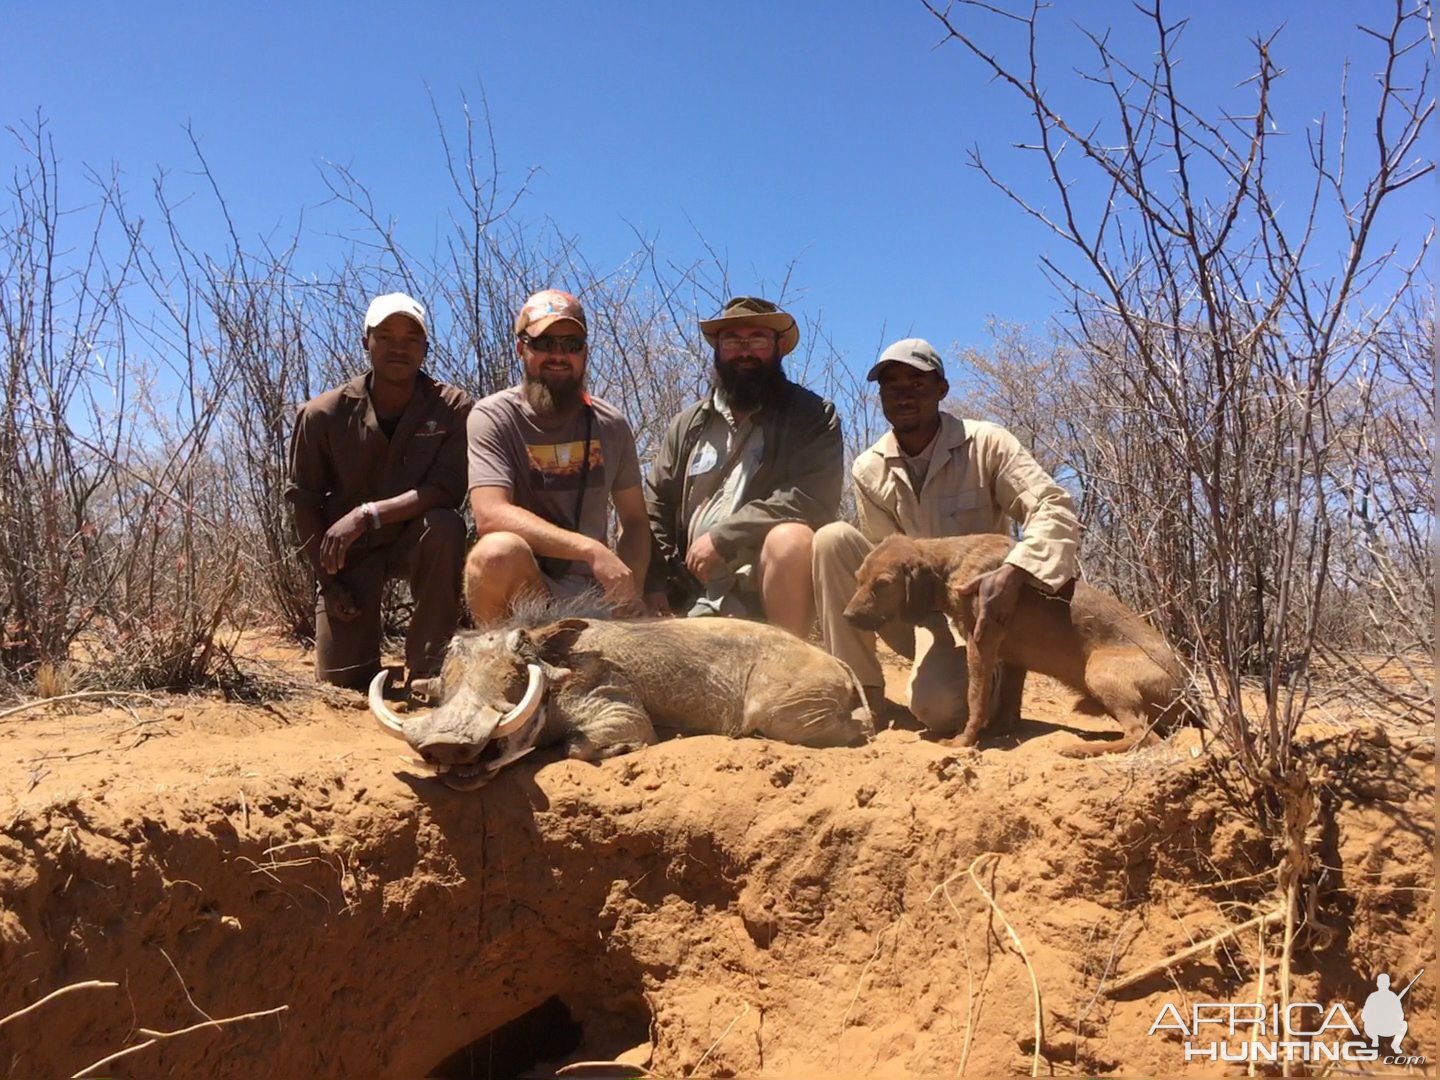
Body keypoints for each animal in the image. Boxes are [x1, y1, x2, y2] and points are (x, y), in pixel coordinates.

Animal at [840, 535, 1180, 754]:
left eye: (883, 584)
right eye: (858, 578)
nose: (847, 616)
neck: (950, 565)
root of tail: (1186, 689)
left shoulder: (981, 643)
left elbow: (976, 699)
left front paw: (963, 741)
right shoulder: (1014, 660)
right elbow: (1006, 703)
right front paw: (997, 730)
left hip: (1099, 671)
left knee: (1144, 737)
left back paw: (1077, 748)